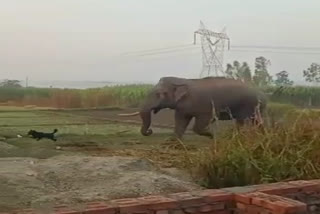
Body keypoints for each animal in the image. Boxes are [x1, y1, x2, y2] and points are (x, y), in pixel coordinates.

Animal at [119, 76, 266, 139]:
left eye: (159, 94)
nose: (150, 132)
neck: (181, 81)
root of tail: (262, 93)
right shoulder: (182, 108)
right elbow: (180, 122)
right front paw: (173, 141)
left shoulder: (205, 106)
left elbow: (201, 123)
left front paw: (211, 135)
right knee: (255, 122)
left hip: (248, 105)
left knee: (245, 121)